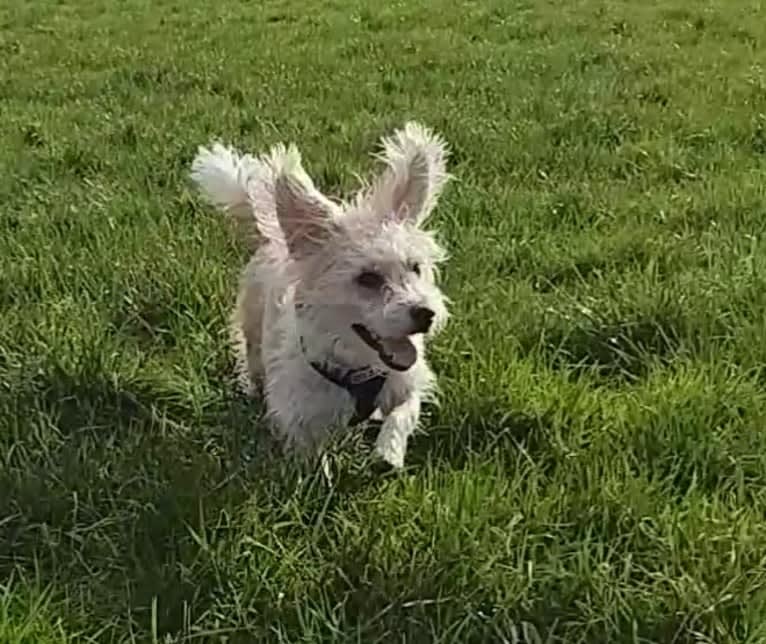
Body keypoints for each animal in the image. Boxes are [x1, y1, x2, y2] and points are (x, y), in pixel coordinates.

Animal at [191, 121, 452, 468]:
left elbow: (403, 411)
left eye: (415, 268)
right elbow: (311, 456)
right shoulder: (300, 414)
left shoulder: (408, 381)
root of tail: (273, 236)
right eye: (367, 278)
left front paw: (388, 452)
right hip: (253, 333)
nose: (426, 313)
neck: (359, 368)